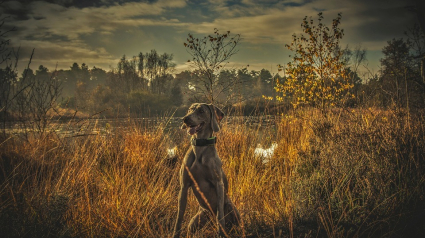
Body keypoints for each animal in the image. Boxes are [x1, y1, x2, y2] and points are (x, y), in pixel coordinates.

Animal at [171, 103, 238, 238]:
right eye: (189, 110)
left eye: (201, 111)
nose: (185, 119)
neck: (200, 147)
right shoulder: (184, 186)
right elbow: (179, 216)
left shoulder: (219, 184)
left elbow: (220, 215)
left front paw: (221, 233)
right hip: (195, 220)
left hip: (232, 208)